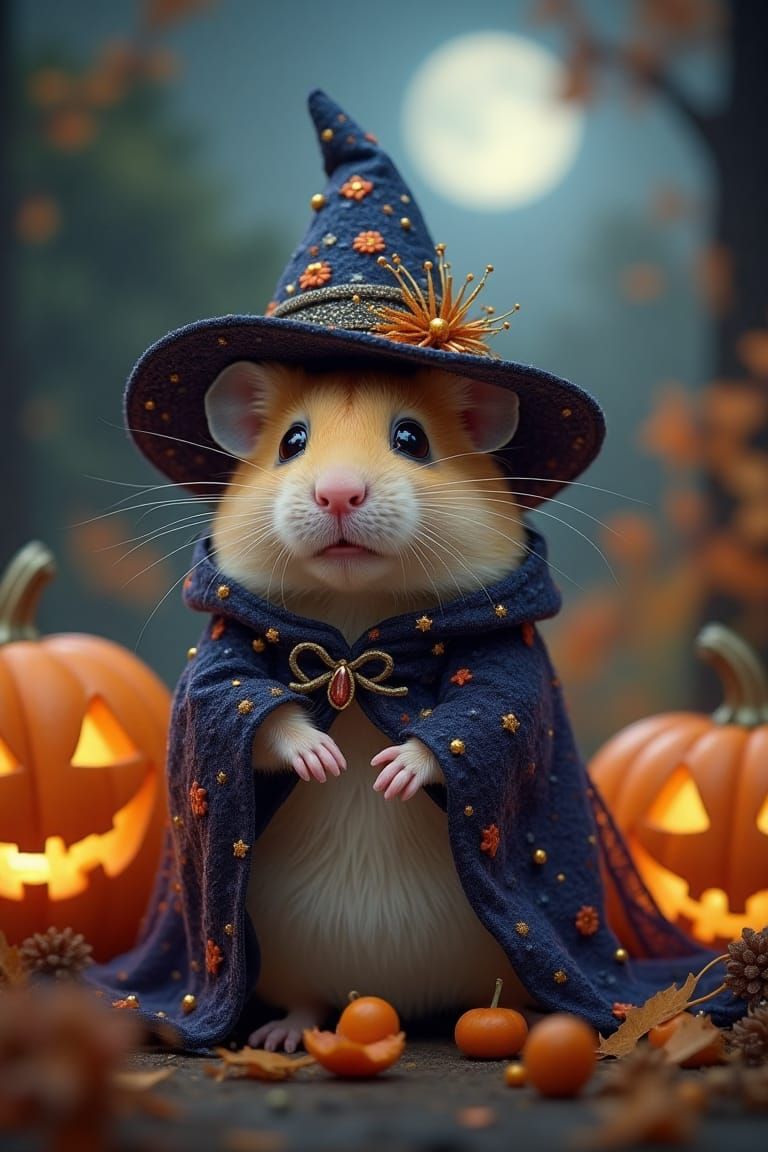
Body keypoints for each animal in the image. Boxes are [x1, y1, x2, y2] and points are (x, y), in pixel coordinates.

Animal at [206, 359, 530, 1051]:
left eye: (413, 438)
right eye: (291, 442)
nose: (338, 494)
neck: (356, 609)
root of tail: (393, 999)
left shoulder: (505, 665)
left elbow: (485, 706)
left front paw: (393, 772)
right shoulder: (222, 653)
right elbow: (242, 698)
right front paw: (324, 759)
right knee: (305, 1001)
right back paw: (281, 1036)